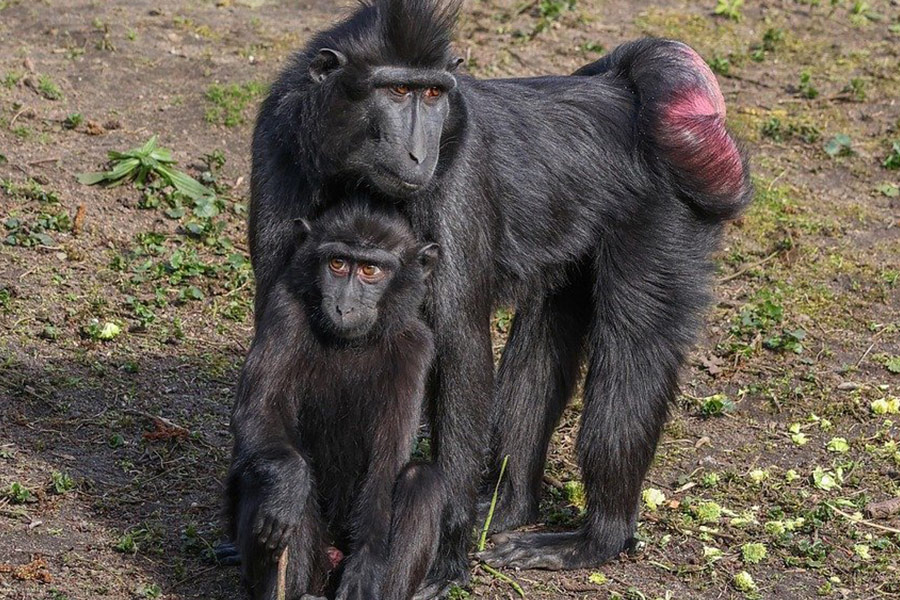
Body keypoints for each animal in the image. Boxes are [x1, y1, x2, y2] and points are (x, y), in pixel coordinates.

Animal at [224, 198, 442, 600]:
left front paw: (365, 570)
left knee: (422, 481)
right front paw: (288, 487)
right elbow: (259, 411)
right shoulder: (285, 312)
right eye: (338, 264)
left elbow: (386, 464)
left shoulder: (417, 346)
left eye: (371, 270)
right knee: (268, 480)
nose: (344, 306)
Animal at [246, 0, 752, 595]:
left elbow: (459, 343)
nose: (420, 152)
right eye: (396, 90)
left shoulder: (458, 171)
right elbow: (280, 334)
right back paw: (509, 506)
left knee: (634, 351)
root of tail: (623, 98)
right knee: (545, 334)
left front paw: (445, 551)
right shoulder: (277, 142)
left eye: (433, 94)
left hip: (664, 216)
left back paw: (596, 538)